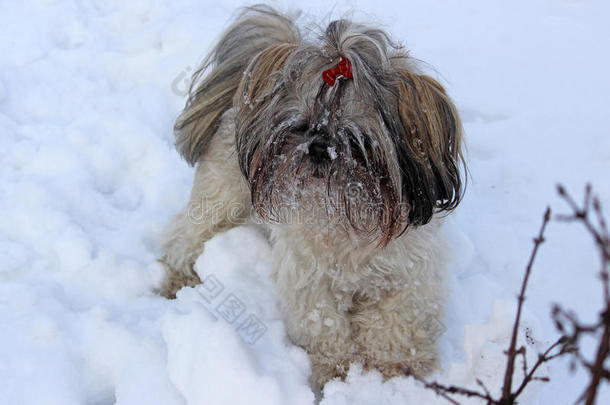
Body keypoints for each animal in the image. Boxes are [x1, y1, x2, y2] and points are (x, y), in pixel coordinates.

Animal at [159, 3, 464, 388]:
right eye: (300, 126)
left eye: (357, 140)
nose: (319, 148)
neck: (348, 220)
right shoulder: (309, 277)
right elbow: (324, 325)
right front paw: (338, 372)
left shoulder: (411, 274)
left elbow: (396, 321)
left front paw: (395, 366)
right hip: (222, 197)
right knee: (183, 238)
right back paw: (177, 279)